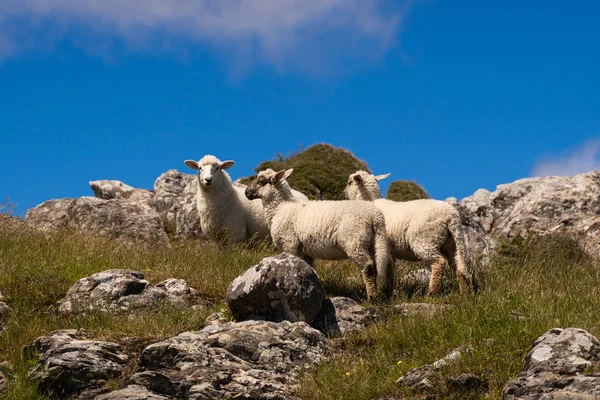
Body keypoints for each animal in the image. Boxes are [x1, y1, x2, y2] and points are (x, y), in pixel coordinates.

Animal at [245, 167, 394, 302]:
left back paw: (372, 298)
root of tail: (375, 216)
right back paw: (385, 294)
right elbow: (308, 269)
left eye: (261, 181)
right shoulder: (305, 251)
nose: (246, 192)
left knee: (368, 267)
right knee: (385, 265)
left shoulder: (290, 244)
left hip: (355, 242)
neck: (281, 208)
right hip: (375, 242)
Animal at [344, 170, 472, 296]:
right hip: (452, 243)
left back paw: (431, 293)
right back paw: (464, 293)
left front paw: (384, 292)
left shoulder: (382, 249)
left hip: (425, 241)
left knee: (439, 263)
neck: (370, 202)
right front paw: (388, 292)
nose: (343, 194)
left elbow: (383, 271)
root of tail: (452, 217)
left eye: (349, 182)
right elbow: (389, 271)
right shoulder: (389, 251)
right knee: (458, 266)